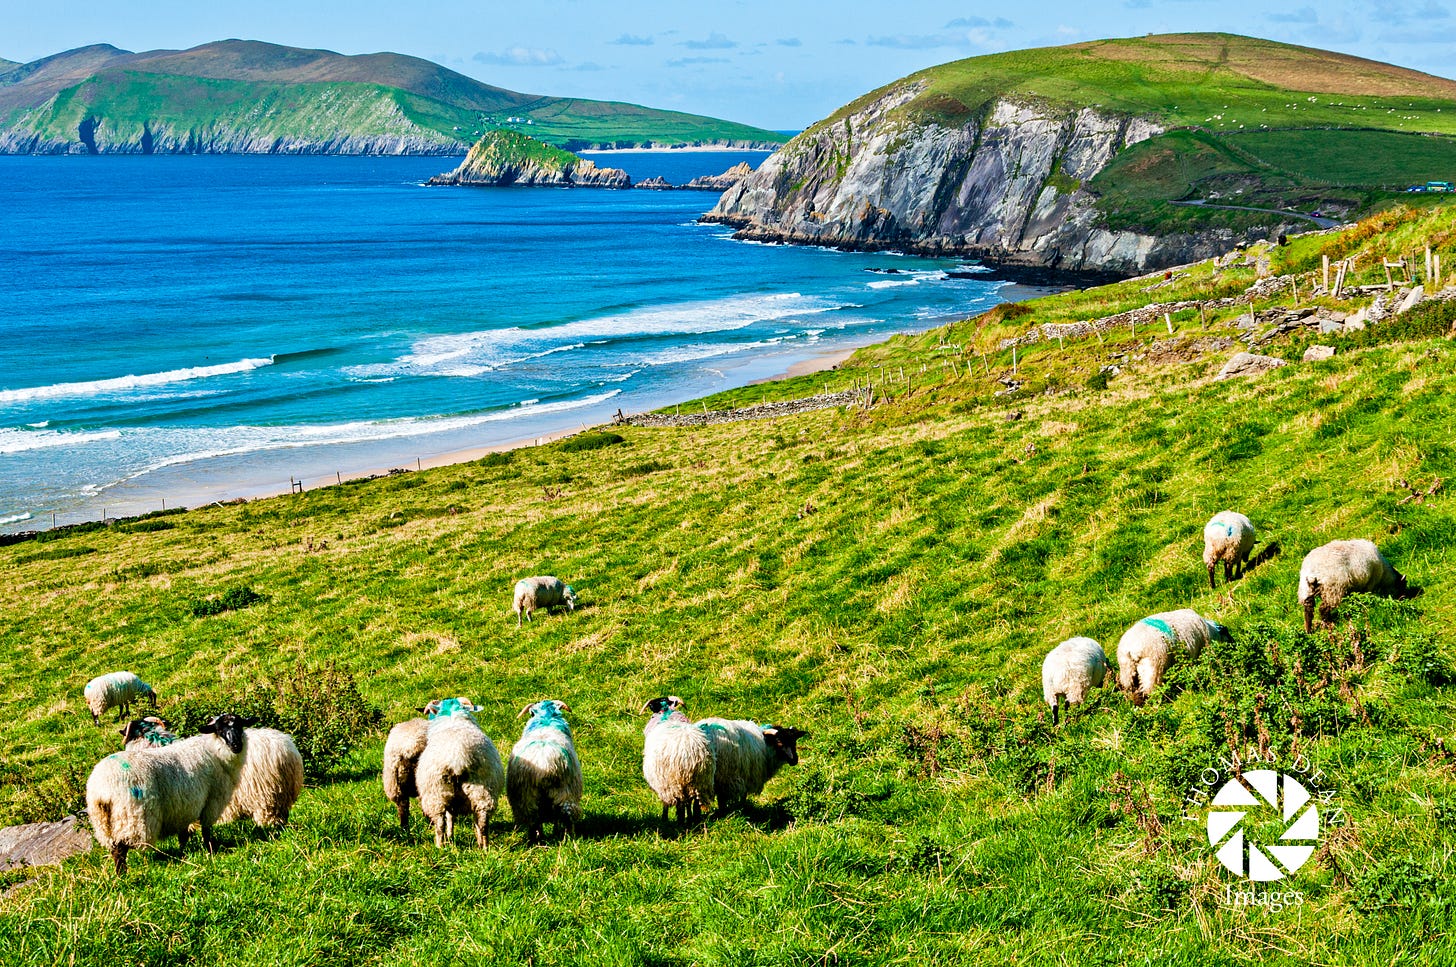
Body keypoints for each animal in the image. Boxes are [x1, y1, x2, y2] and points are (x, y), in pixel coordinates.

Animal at [85, 712, 254, 875]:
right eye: (219, 730)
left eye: (240, 726)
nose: (236, 745)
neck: (213, 750)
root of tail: (101, 790)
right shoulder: (210, 801)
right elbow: (205, 831)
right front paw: (210, 849)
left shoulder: (183, 808)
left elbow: (184, 835)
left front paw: (184, 854)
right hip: (131, 817)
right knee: (120, 850)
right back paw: (122, 875)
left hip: (104, 823)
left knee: (114, 847)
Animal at [415, 698, 505, 849]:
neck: (453, 716)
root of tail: (458, 756)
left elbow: (450, 817)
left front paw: (450, 836)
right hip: (483, 789)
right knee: (482, 821)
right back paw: (484, 846)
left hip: (436, 793)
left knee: (439, 824)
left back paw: (440, 847)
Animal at [507, 700, 583, 842]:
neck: (545, 718)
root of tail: (544, 765)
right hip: (565, 790)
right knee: (565, 815)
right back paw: (567, 837)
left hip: (527, 797)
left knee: (535, 820)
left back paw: (536, 840)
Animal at [641, 695, 714, 824]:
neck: (666, 712)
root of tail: (688, 752)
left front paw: (665, 819)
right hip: (699, 781)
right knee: (692, 801)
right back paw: (692, 818)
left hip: (671, 782)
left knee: (678, 803)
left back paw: (677, 820)